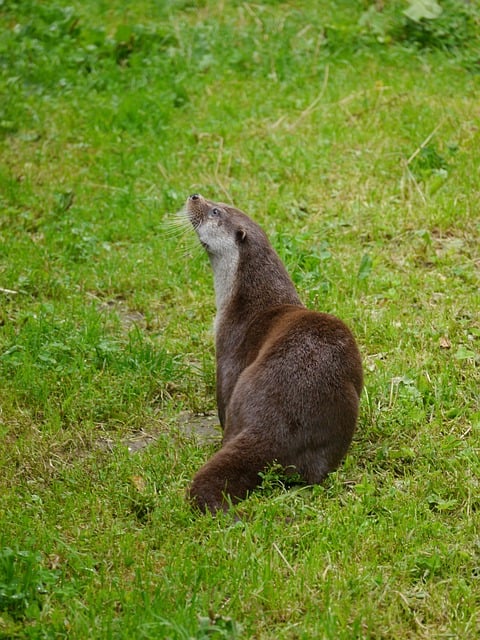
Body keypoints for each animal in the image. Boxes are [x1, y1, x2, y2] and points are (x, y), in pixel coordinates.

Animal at [183, 192, 360, 512]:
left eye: (216, 211)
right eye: (220, 203)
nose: (194, 195)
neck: (248, 302)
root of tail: (274, 428)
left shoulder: (228, 346)